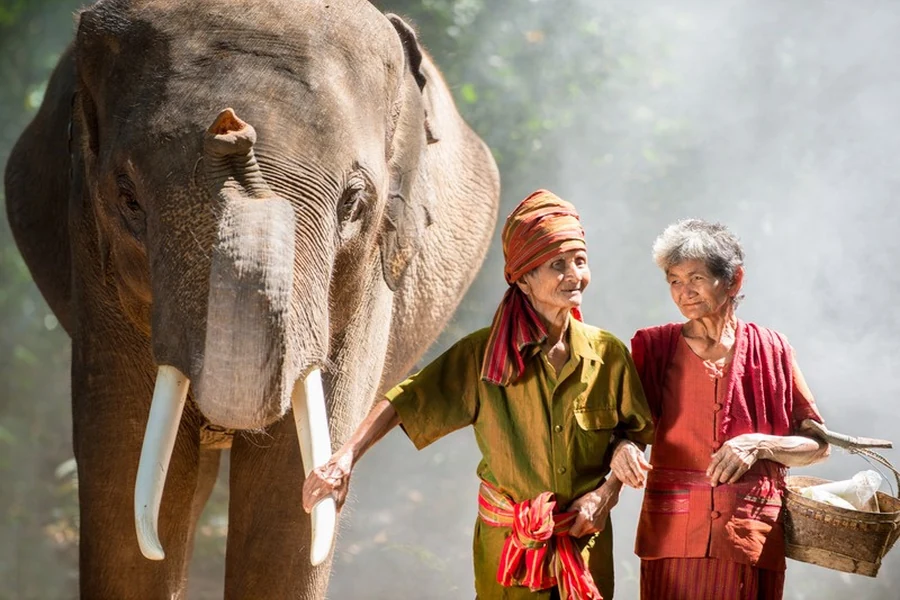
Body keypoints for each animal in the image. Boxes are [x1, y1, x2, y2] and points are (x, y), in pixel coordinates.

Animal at [4, 0, 500, 597]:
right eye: (128, 199)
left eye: (353, 203)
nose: (232, 129)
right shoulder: (90, 245)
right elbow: (120, 465)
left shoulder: (368, 278)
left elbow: (286, 498)